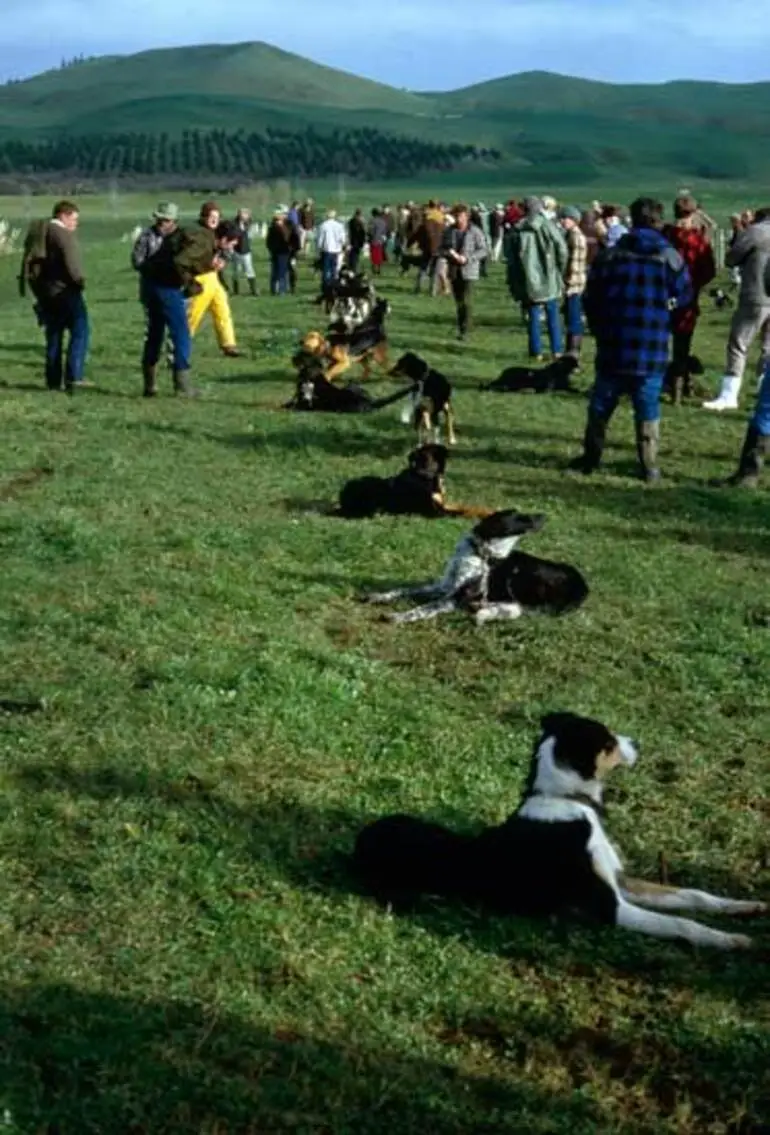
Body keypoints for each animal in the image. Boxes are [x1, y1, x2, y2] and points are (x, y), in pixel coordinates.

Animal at [354, 708, 767, 948]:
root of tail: (361, 837)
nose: (639, 742)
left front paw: (745, 906)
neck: (567, 800)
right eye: (609, 742)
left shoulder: (620, 882)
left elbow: (695, 896)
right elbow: (682, 923)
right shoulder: (609, 907)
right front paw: (731, 940)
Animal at [365, 510, 590, 626]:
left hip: (523, 575)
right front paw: (380, 596)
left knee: (518, 606)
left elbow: (423, 608)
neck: (479, 553)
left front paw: (399, 616)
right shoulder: (444, 587)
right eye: (520, 517)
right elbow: (404, 589)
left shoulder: (454, 598)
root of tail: (583, 586)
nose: (544, 515)